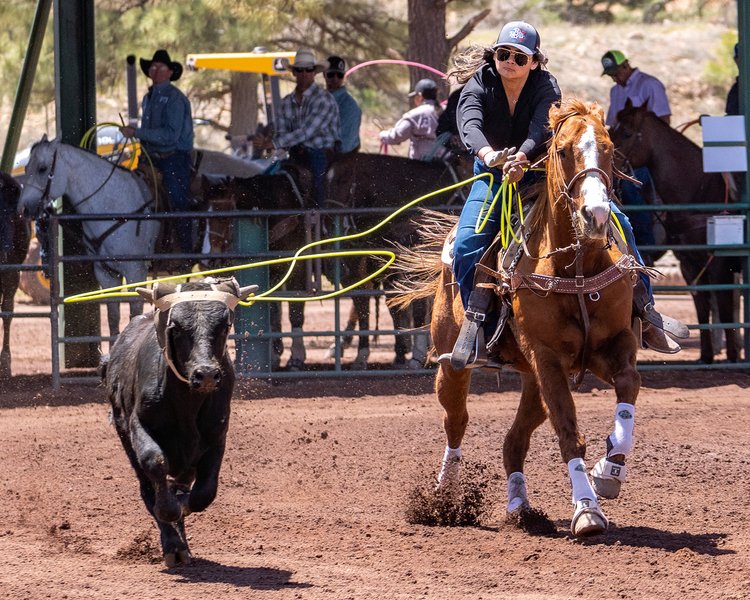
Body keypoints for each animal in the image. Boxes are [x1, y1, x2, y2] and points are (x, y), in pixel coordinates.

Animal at [394, 101, 648, 536]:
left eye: (610, 148)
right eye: (562, 150)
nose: (596, 216)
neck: (575, 270)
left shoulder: (611, 346)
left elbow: (629, 385)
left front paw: (609, 470)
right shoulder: (546, 357)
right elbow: (568, 431)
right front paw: (587, 509)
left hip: (532, 379)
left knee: (513, 442)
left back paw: (520, 507)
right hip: (453, 364)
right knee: (456, 422)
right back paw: (444, 497)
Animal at [612, 101, 744, 364]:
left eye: (627, 133)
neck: (700, 188)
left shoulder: (719, 264)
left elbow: (723, 306)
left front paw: (733, 356)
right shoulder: (689, 264)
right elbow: (702, 306)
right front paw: (706, 356)